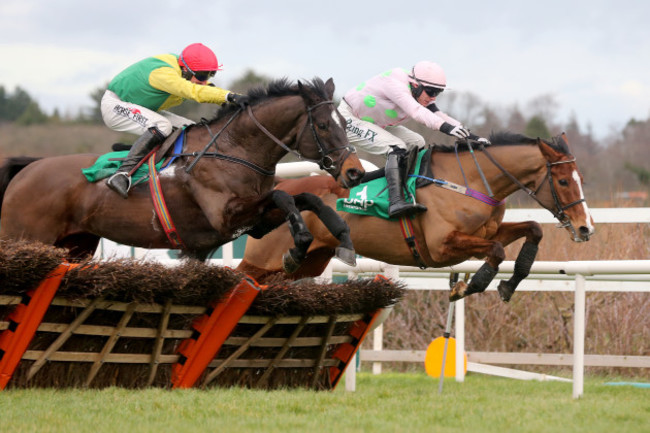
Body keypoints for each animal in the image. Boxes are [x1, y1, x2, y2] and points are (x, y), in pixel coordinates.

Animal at [0, 77, 364, 262]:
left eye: (345, 123)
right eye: (323, 125)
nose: (354, 172)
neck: (234, 150)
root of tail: (28, 169)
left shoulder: (253, 224)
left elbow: (305, 198)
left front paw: (343, 239)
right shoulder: (226, 217)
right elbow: (283, 196)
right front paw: (300, 242)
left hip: (75, 245)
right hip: (25, 237)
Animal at [237, 132, 592, 300]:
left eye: (581, 179)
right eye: (563, 181)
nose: (585, 228)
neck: (470, 181)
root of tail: (281, 187)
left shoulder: (487, 232)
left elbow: (533, 230)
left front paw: (507, 286)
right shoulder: (441, 246)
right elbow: (496, 251)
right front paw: (466, 288)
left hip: (306, 262)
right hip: (262, 260)